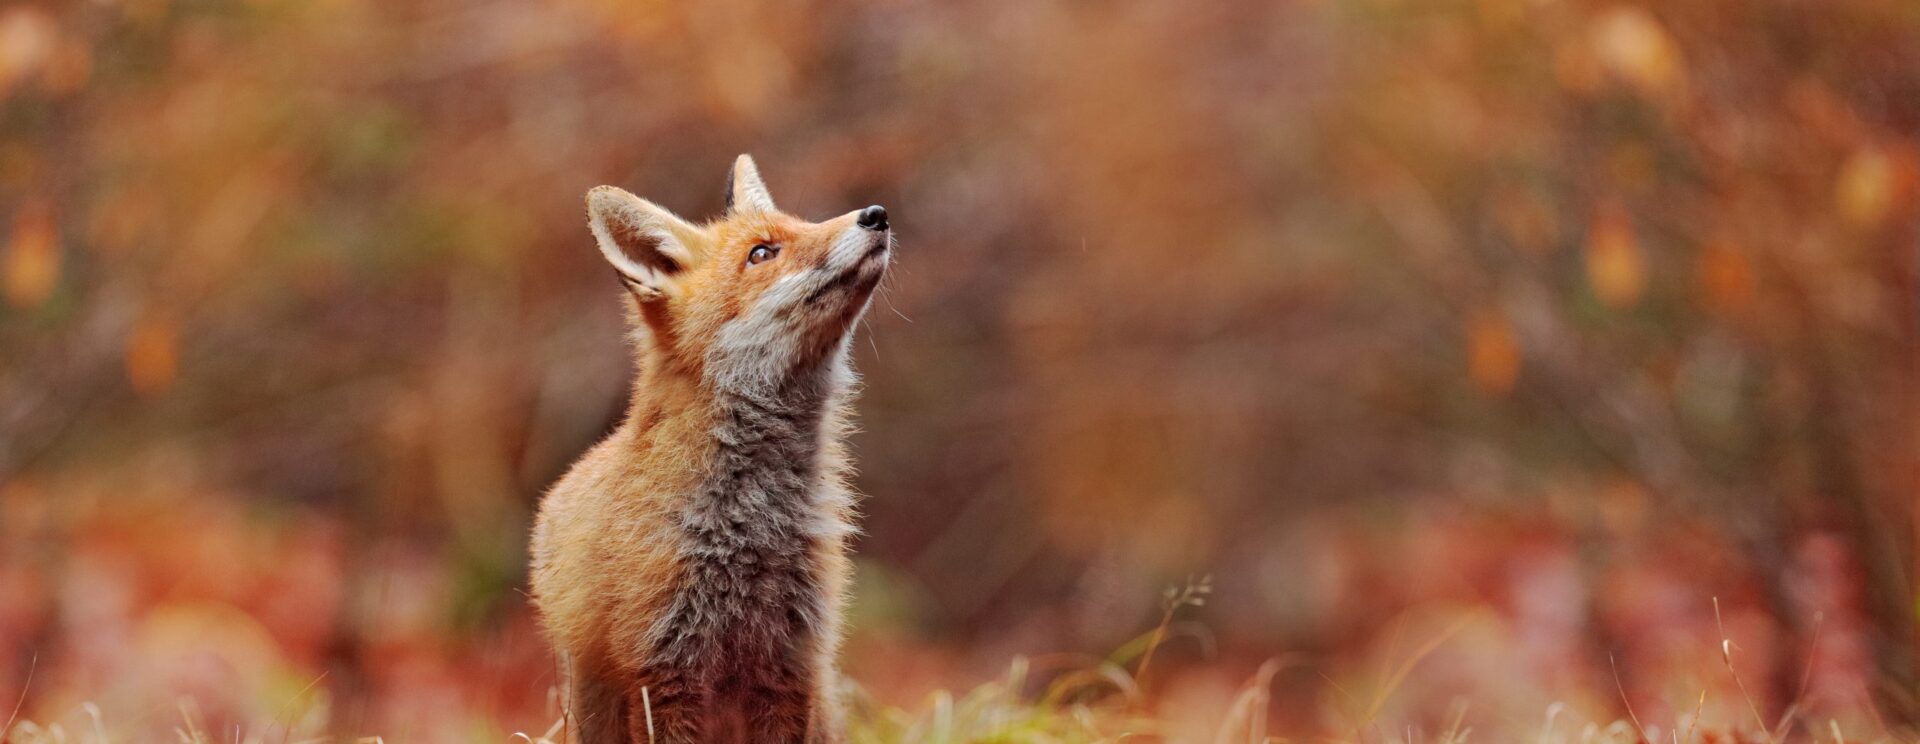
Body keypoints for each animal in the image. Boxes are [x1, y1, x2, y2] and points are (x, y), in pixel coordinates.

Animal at [529, 155, 891, 744]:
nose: (876, 214)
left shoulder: (790, 666)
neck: (748, 532)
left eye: (803, 224)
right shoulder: (661, 674)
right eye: (762, 253)